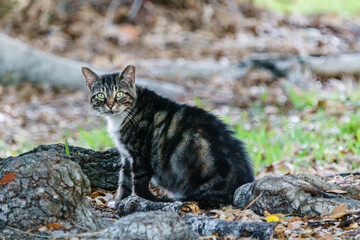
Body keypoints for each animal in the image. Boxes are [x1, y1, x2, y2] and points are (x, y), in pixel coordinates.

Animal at [82, 65, 256, 206]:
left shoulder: (139, 155)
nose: (111, 105)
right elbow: (124, 180)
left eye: (119, 94)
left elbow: (138, 181)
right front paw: (119, 201)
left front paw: (139, 199)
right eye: (100, 95)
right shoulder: (127, 155)